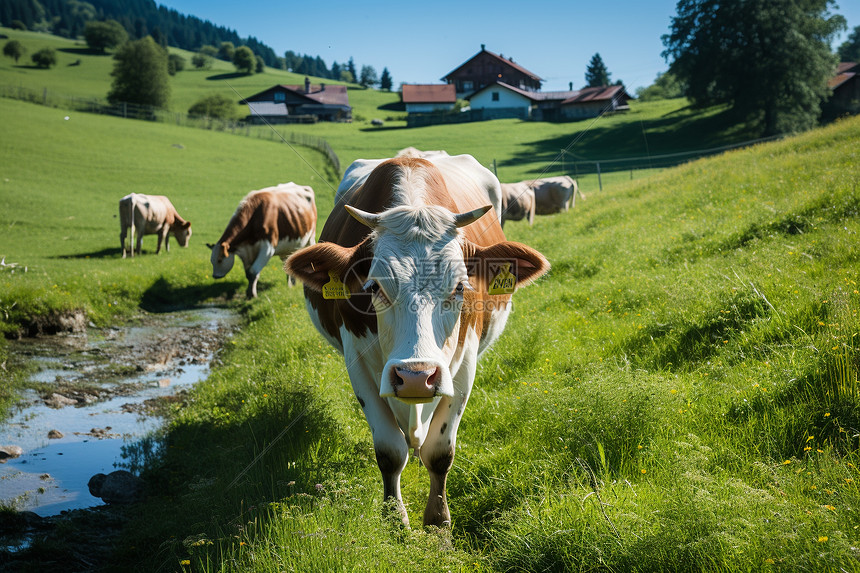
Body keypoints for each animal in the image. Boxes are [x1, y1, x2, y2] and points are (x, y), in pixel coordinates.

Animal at [286, 154, 548, 524]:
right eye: (374, 287)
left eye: (459, 287)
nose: (415, 377)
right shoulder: (358, 362)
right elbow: (389, 451)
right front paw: (395, 519)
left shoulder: (463, 364)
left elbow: (439, 453)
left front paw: (438, 520)